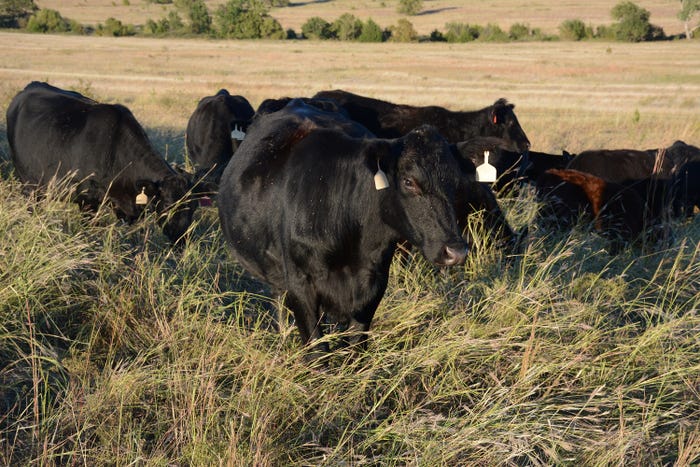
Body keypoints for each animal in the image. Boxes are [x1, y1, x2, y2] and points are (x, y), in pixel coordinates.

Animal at [219, 100, 470, 360]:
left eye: (456, 183)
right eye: (409, 182)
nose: (456, 251)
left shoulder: (374, 283)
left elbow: (356, 346)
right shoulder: (300, 285)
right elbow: (317, 350)